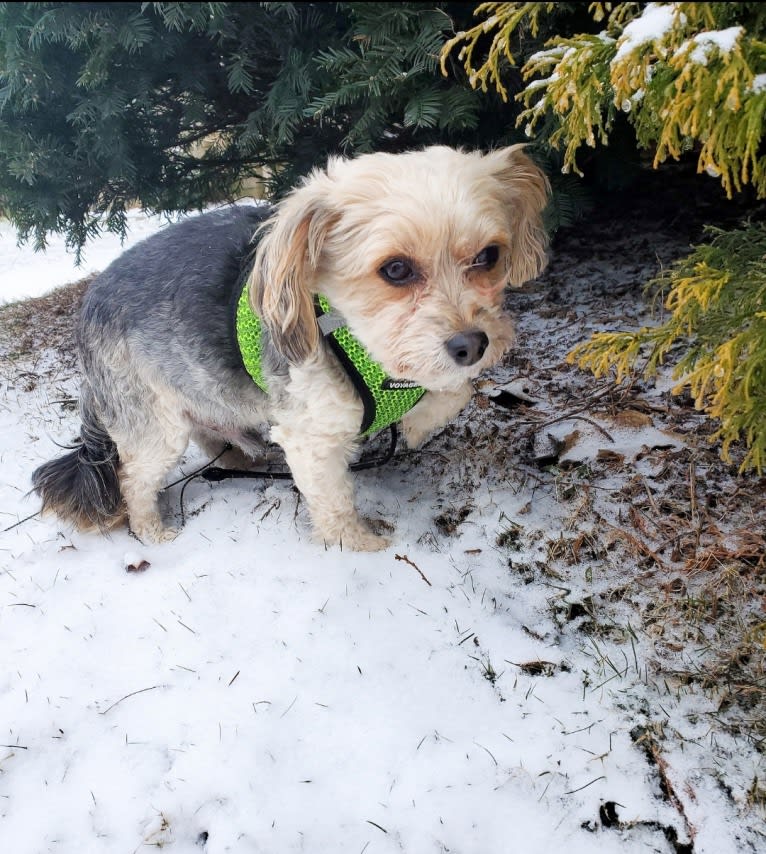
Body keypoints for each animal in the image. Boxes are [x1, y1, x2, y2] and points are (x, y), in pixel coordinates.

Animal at [33, 145, 552, 556]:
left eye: (489, 256)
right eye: (396, 269)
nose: (472, 344)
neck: (364, 347)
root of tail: (88, 305)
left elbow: (455, 391)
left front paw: (417, 425)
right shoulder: (310, 437)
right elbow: (335, 502)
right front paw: (361, 547)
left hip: (198, 384)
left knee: (207, 430)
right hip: (154, 423)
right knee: (135, 478)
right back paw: (153, 532)